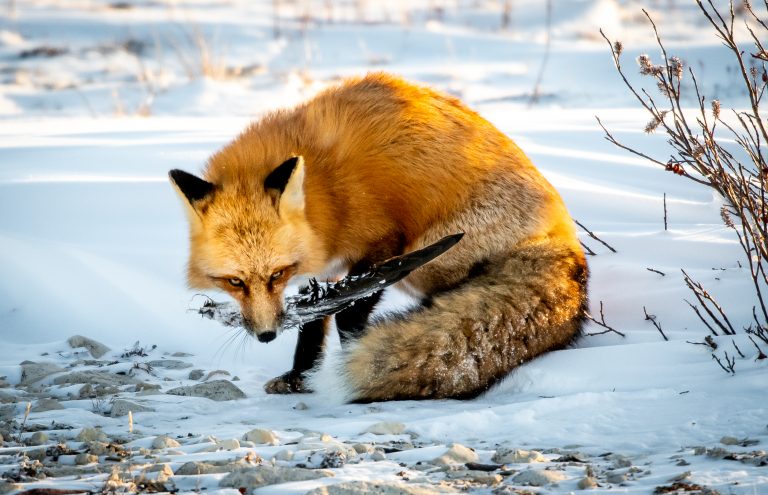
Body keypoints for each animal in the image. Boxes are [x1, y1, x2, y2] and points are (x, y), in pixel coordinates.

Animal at [170, 72, 588, 404]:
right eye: (234, 282)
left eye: (276, 275)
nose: (267, 336)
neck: (328, 192)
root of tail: (565, 239)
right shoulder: (321, 268)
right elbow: (312, 325)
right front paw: (299, 377)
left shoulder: (384, 243)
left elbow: (348, 311)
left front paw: (343, 361)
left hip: (430, 254)